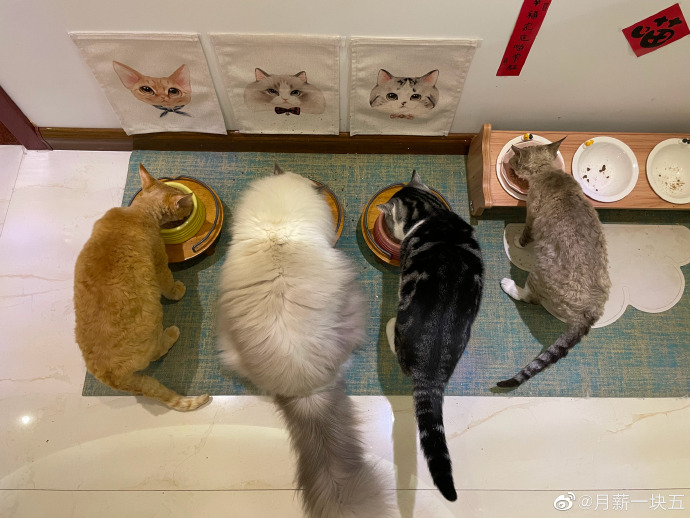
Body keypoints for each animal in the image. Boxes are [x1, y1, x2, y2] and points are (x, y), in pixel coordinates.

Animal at [73, 164, 210, 411]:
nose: (191, 206)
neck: (138, 212)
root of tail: (109, 376)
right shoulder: (159, 260)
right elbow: (168, 284)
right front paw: (178, 291)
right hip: (153, 319)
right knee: (156, 352)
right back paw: (171, 333)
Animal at [498, 138, 611, 388]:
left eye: (514, 161)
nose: (509, 164)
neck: (547, 171)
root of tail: (592, 311)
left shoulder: (531, 213)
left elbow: (525, 234)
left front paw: (517, 242)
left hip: (540, 271)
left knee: (530, 298)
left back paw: (508, 285)